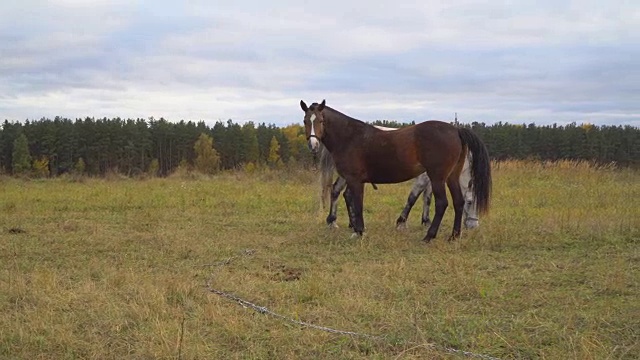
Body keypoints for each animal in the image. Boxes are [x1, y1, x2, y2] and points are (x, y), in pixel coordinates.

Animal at [298, 100, 490, 243]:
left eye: (321, 120)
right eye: (306, 121)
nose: (313, 145)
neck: (350, 137)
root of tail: (456, 130)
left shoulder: (355, 180)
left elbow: (359, 204)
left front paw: (360, 231)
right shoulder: (354, 179)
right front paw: (359, 230)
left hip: (438, 177)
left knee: (443, 203)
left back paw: (429, 236)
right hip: (450, 177)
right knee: (457, 201)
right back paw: (453, 236)